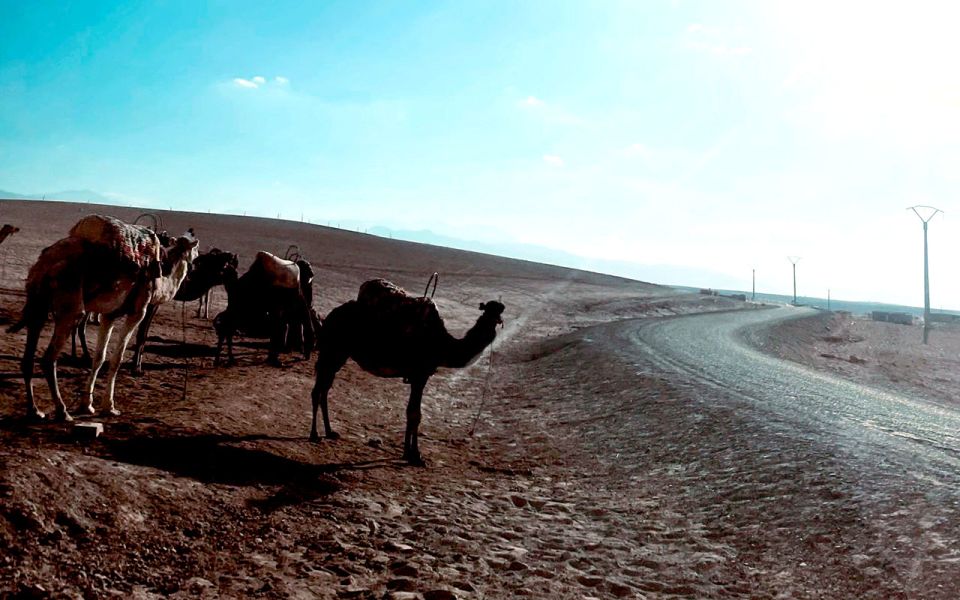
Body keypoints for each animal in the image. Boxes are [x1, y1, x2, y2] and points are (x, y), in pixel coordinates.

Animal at [7, 213, 199, 420]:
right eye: (195, 247)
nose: (195, 262)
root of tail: (47, 262)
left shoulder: (109, 315)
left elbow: (99, 358)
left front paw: (87, 405)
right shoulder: (138, 311)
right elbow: (116, 359)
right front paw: (110, 407)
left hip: (38, 304)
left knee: (29, 357)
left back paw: (35, 410)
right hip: (70, 305)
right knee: (49, 358)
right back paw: (62, 410)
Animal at [310, 278, 506, 466]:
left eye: (499, 310)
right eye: (489, 310)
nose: (496, 319)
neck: (444, 345)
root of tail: (329, 317)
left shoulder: (416, 377)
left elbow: (412, 412)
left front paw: (407, 453)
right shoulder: (420, 375)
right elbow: (415, 414)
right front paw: (416, 456)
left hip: (338, 354)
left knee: (324, 389)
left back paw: (330, 432)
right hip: (332, 350)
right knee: (317, 390)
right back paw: (314, 434)